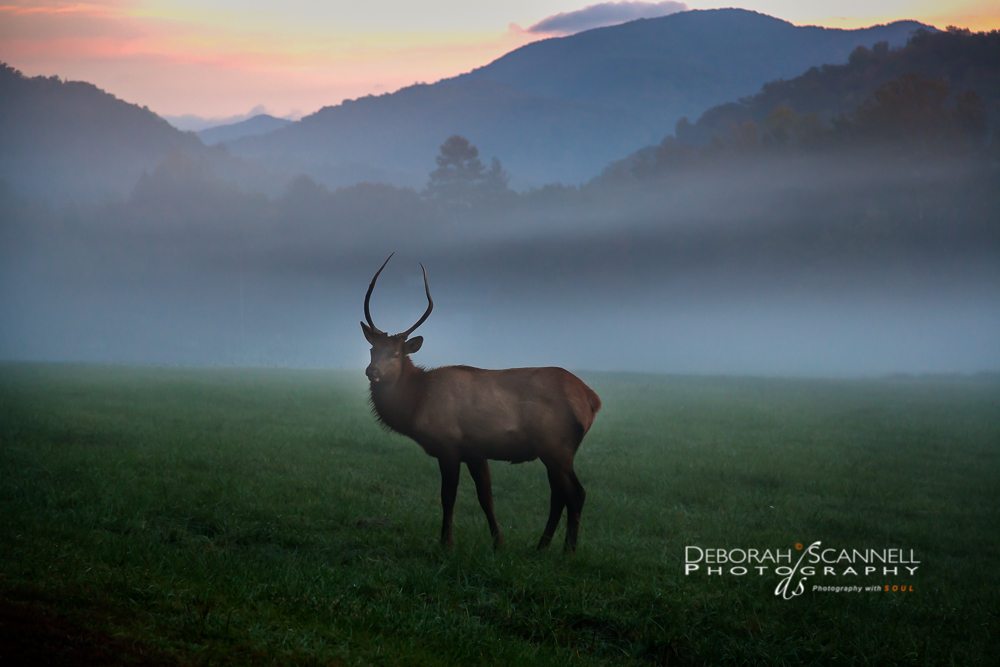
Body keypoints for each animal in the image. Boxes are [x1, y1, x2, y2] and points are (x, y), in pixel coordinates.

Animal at [361, 254, 601, 552]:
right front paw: (499, 542)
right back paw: (541, 546)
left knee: (575, 493)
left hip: (556, 445)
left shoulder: (448, 445)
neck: (417, 402)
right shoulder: (475, 451)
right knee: (559, 494)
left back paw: (567, 551)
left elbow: (448, 497)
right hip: (557, 450)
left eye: (395, 353)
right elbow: (486, 497)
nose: (372, 371)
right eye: (372, 348)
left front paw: (446, 543)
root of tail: (592, 400)